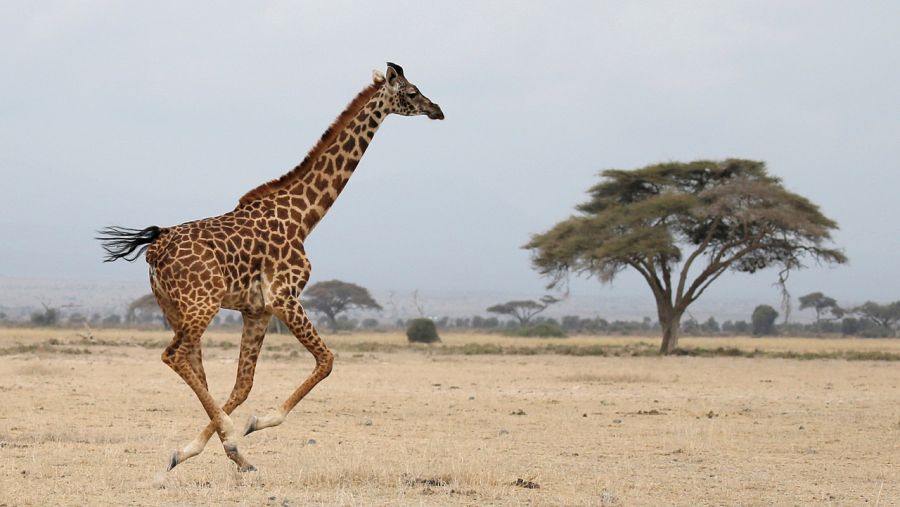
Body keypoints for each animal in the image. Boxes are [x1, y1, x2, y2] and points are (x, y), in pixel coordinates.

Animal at [97, 63, 443, 471]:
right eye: (411, 91)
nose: (437, 110)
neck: (304, 216)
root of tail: (156, 248)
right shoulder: (284, 296)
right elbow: (326, 360)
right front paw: (251, 426)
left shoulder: (257, 309)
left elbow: (243, 385)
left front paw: (224, 446)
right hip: (202, 304)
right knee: (174, 356)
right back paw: (222, 439)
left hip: (175, 309)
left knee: (194, 367)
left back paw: (212, 449)